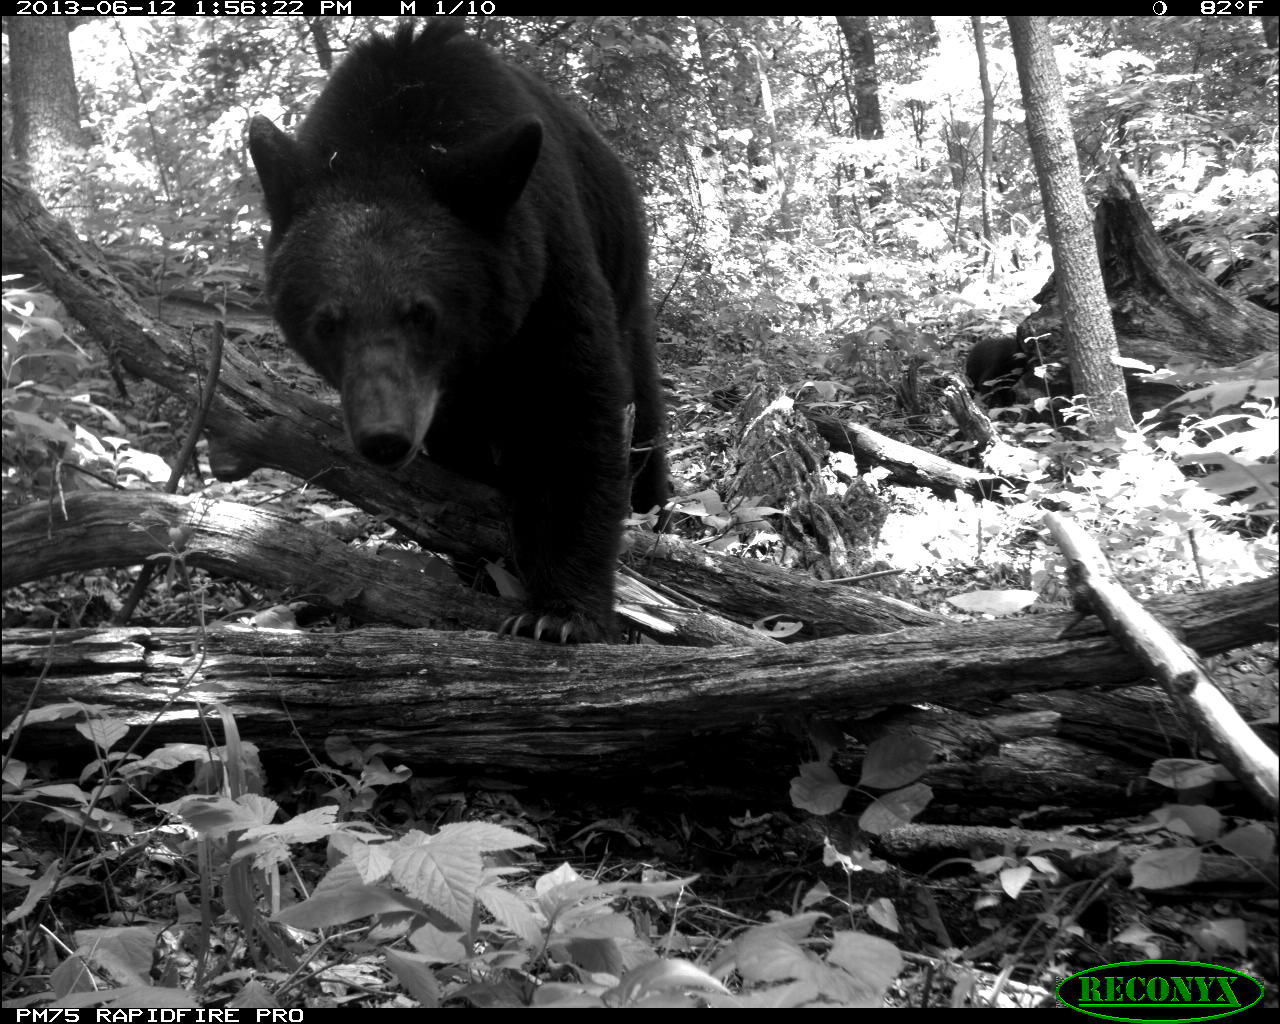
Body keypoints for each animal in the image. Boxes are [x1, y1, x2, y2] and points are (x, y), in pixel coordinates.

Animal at [248, 22, 670, 640]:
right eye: (327, 322)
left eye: (424, 312)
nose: (384, 437)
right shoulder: (440, 399)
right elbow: (459, 458)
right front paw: (484, 564)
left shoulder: (546, 257)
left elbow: (573, 409)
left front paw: (560, 611)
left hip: (623, 259)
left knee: (640, 393)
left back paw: (651, 503)